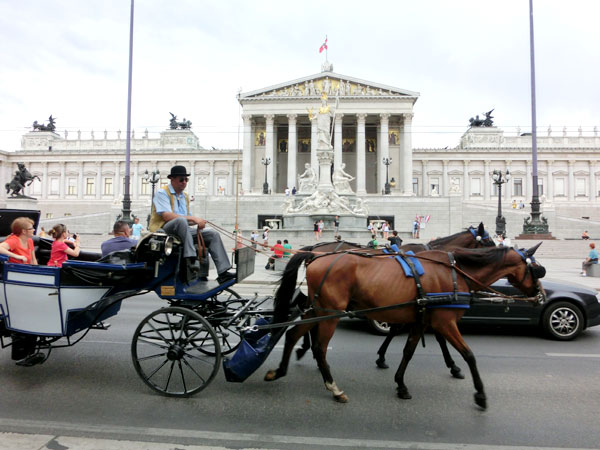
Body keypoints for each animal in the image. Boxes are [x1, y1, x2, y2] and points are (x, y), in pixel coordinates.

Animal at [264, 244, 548, 410]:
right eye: (537, 269)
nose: (542, 295)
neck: (455, 273)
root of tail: (316, 256)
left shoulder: (421, 320)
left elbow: (408, 352)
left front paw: (400, 384)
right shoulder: (444, 321)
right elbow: (469, 355)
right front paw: (480, 394)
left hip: (317, 309)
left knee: (293, 333)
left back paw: (278, 371)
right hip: (330, 313)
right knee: (320, 348)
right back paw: (334, 389)